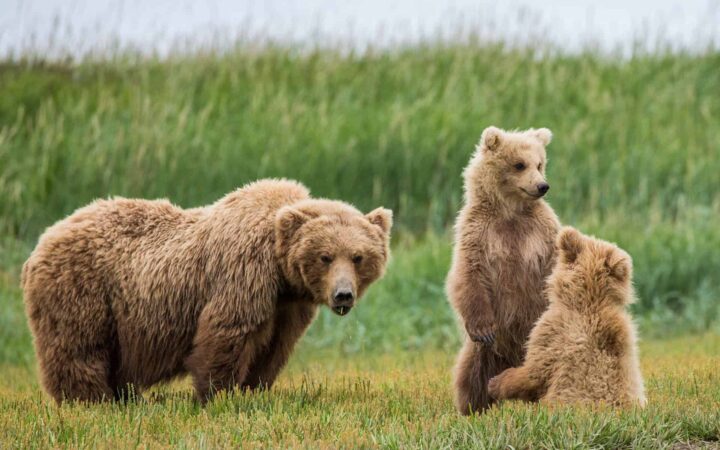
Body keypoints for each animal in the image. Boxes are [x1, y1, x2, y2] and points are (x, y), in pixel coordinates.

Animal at [21, 179, 393, 404]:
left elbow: (274, 347)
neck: (279, 270)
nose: (343, 295)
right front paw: (218, 395)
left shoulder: (287, 305)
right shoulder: (243, 273)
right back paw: (90, 400)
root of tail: (43, 239)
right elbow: (226, 333)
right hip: (85, 289)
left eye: (358, 257)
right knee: (79, 347)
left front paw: (254, 389)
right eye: (325, 256)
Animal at [447, 126, 561, 415]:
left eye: (539, 164)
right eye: (519, 164)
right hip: (485, 351)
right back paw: (473, 407)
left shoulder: (541, 232)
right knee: (472, 372)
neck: (510, 212)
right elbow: (469, 275)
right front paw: (483, 328)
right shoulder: (477, 232)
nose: (542, 186)